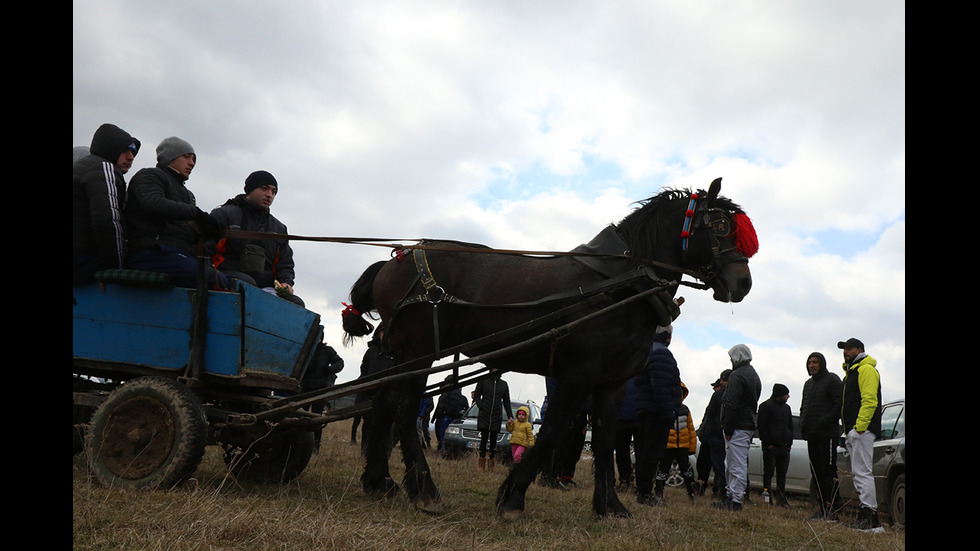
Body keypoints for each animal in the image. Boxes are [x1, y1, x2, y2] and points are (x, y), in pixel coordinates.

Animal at [342, 179, 756, 520]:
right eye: (721, 227)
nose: (743, 283)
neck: (622, 284)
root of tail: (394, 261)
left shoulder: (612, 383)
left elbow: (604, 442)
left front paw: (610, 507)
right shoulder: (578, 377)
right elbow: (553, 431)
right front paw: (512, 497)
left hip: (403, 354)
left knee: (383, 405)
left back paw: (380, 482)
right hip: (420, 351)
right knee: (404, 410)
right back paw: (424, 491)